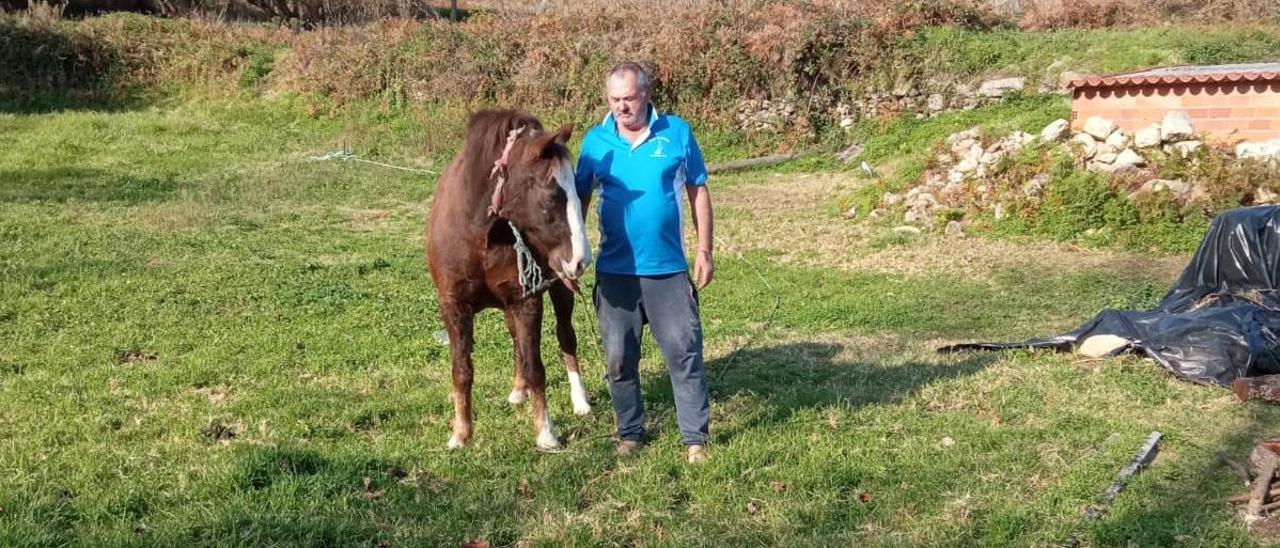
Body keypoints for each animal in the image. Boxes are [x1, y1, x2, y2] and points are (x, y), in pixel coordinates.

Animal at [427, 110, 591, 450]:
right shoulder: (453, 306)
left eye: (575, 187)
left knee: (566, 336)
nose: (582, 259)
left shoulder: (526, 301)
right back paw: (518, 391)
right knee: (516, 339)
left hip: (560, 289)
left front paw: (546, 432)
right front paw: (460, 433)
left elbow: (536, 366)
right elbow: (462, 370)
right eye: (552, 192)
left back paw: (580, 401)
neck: (480, 234)